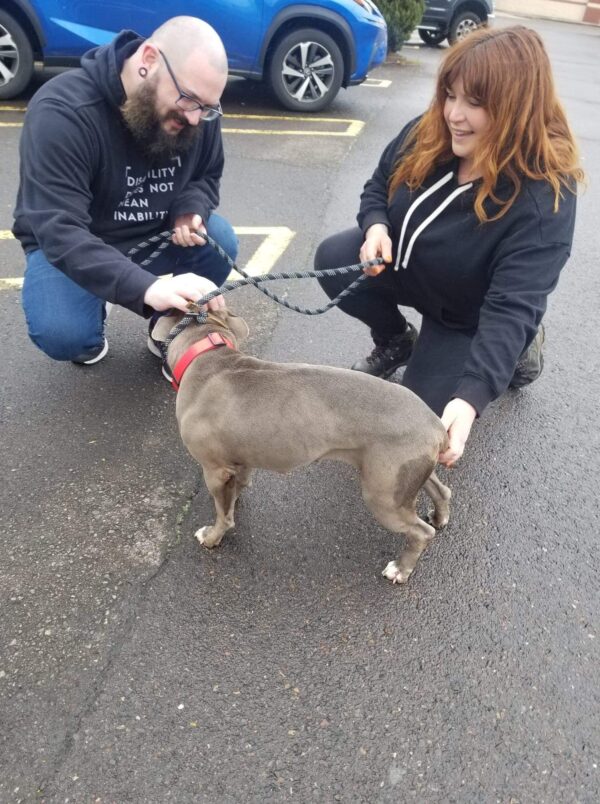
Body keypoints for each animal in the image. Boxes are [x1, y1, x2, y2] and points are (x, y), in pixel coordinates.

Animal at [152, 308, 452, 584]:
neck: (206, 352)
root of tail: (435, 424)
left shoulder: (214, 470)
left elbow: (223, 516)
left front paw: (213, 536)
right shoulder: (240, 460)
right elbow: (237, 487)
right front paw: (234, 498)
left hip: (383, 495)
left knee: (420, 532)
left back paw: (401, 569)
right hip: (407, 474)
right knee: (441, 490)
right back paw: (439, 517)